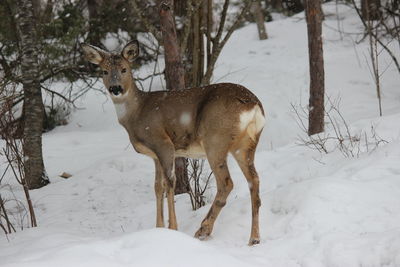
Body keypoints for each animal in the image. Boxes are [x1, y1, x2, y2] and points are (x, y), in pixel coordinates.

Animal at [81, 40, 266, 246]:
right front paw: (158, 227)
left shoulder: (163, 143)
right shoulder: (155, 156)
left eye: (124, 69)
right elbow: (157, 186)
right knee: (254, 180)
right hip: (246, 145)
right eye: (104, 71)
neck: (136, 113)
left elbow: (170, 182)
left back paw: (203, 229)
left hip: (215, 141)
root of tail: (253, 106)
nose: (115, 88)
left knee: (227, 183)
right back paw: (254, 238)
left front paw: (172, 228)